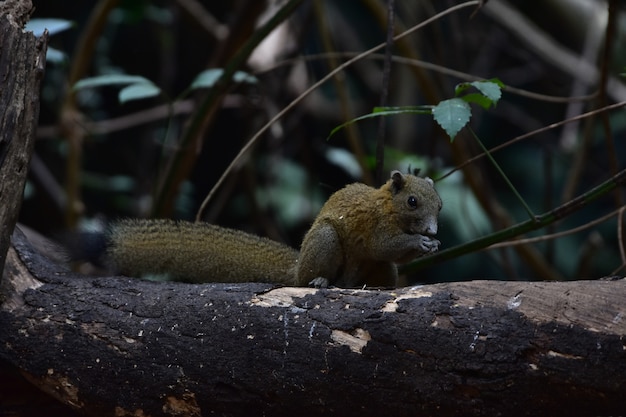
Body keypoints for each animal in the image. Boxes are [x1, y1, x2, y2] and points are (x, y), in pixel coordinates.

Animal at [101, 171, 438, 288]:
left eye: (440, 205)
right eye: (412, 201)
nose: (434, 230)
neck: (389, 206)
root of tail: (297, 267)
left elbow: (389, 253)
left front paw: (432, 245)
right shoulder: (376, 225)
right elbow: (382, 245)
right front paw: (421, 242)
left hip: (380, 271)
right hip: (325, 241)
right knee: (306, 280)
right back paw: (318, 281)